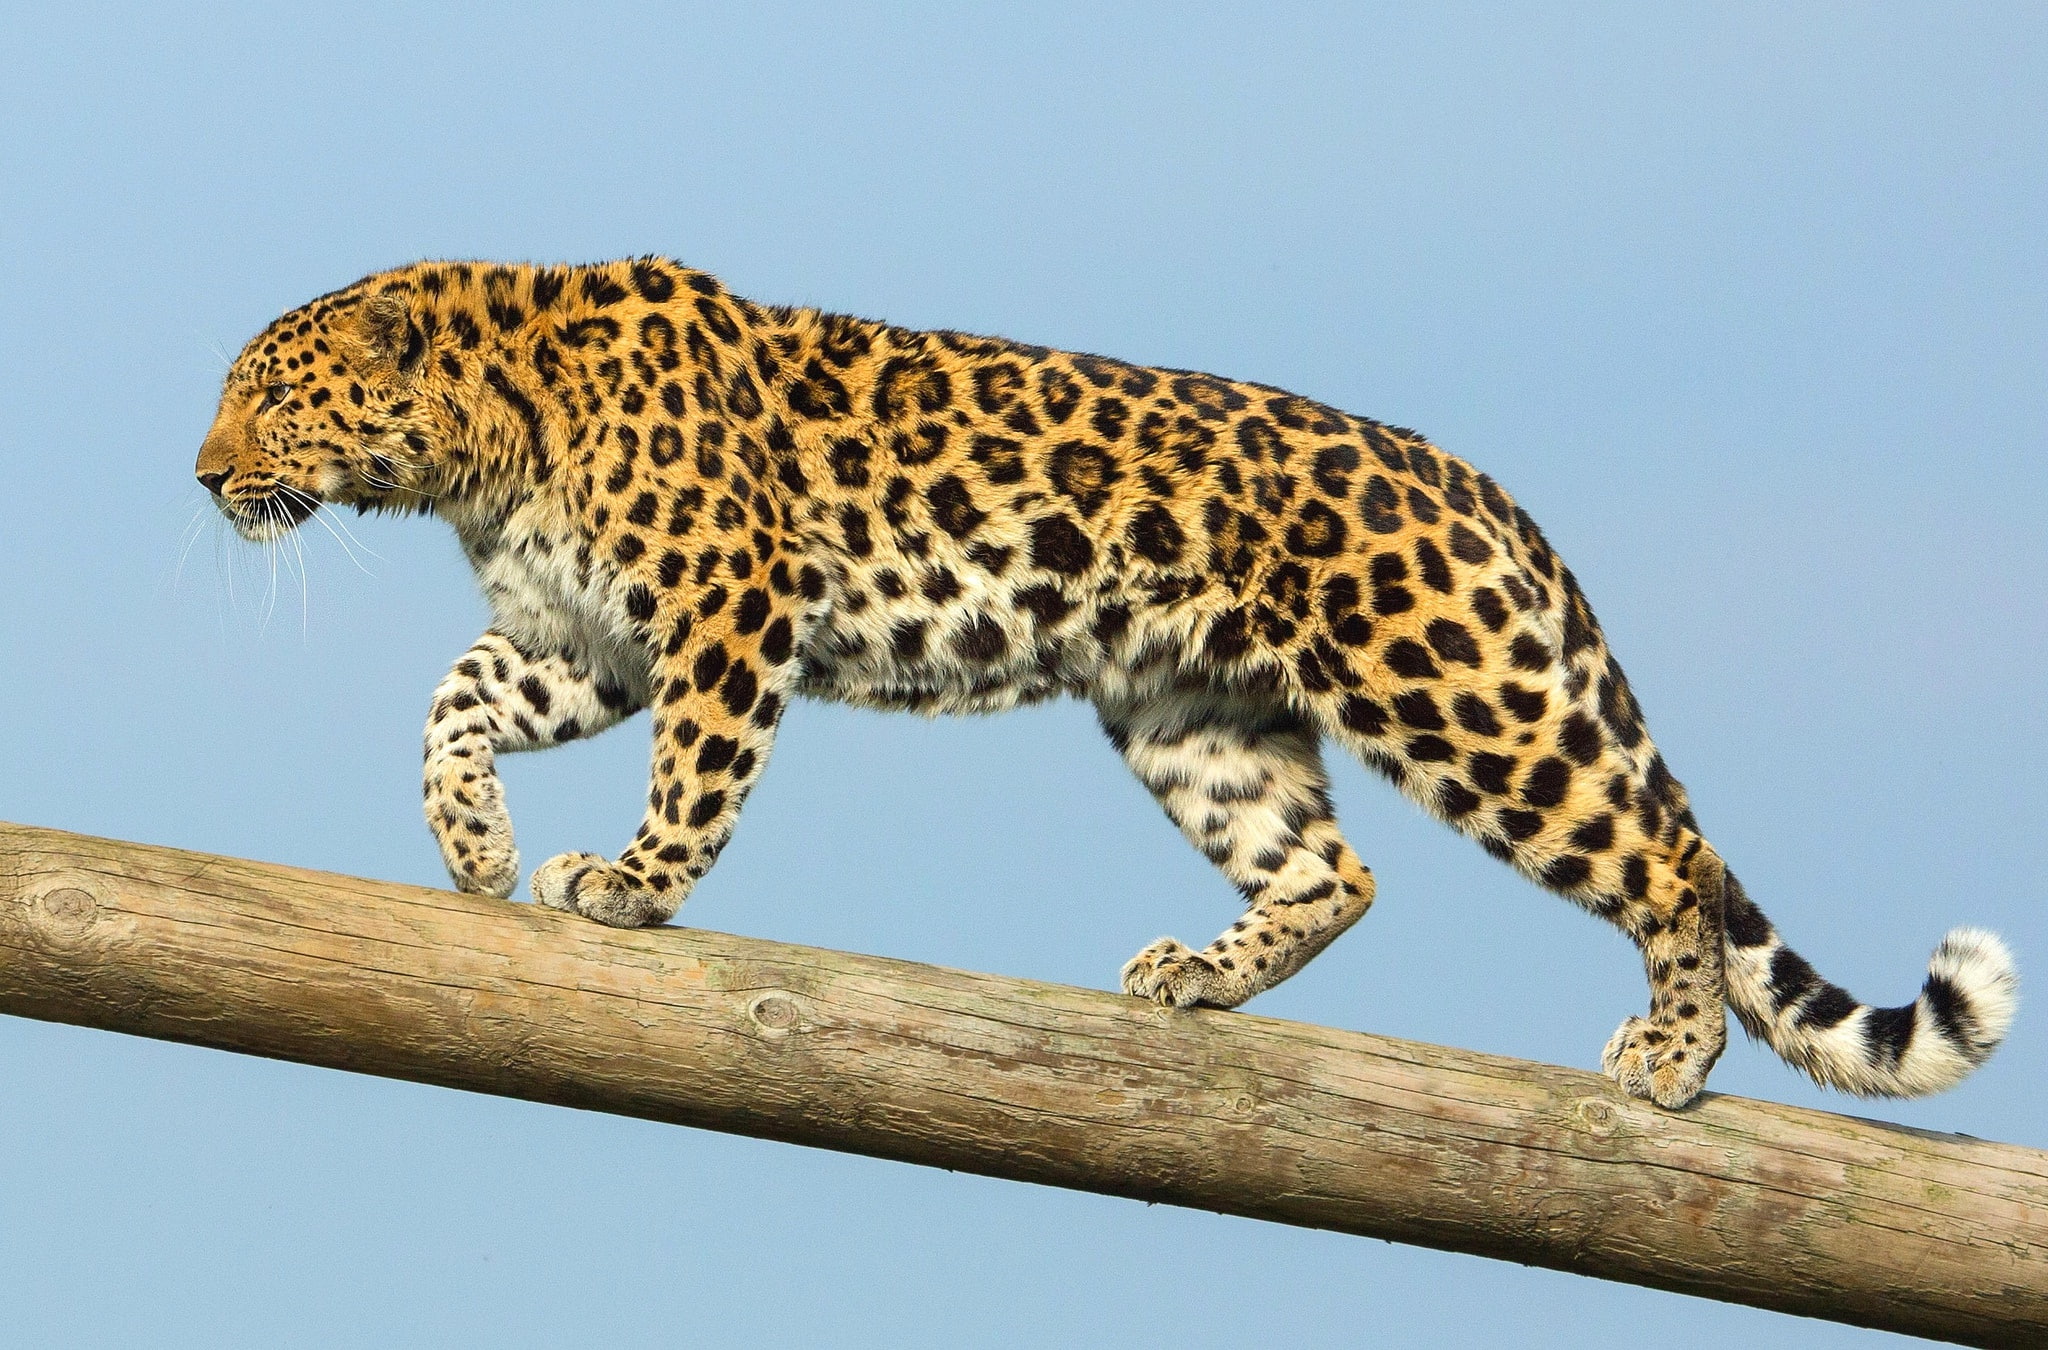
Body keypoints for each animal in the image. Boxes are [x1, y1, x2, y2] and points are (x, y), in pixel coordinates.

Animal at [195, 257, 2017, 1108]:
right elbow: (452, 699)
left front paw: (628, 888)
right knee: (1336, 868)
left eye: (269, 398)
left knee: (1665, 859)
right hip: (1189, 713)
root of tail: (1474, 482)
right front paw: (474, 847)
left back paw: (1669, 1057)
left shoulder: (725, 603)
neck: (477, 447)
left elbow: (694, 777)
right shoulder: (586, 637)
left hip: (1453, 686)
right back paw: (1199, 978)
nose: (202, 475)